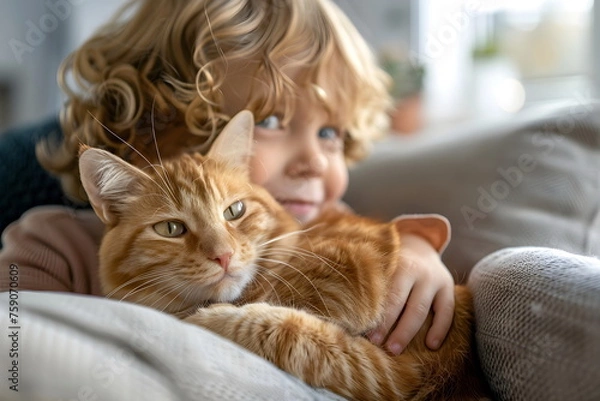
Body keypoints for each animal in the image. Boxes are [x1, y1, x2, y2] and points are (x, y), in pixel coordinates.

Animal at [78, 110, 488, 400]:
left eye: (234, 211)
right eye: (170, 229)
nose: (223, 256)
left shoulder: (391, 362)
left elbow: (281, 330)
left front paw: (210, 319)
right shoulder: (384, 369)